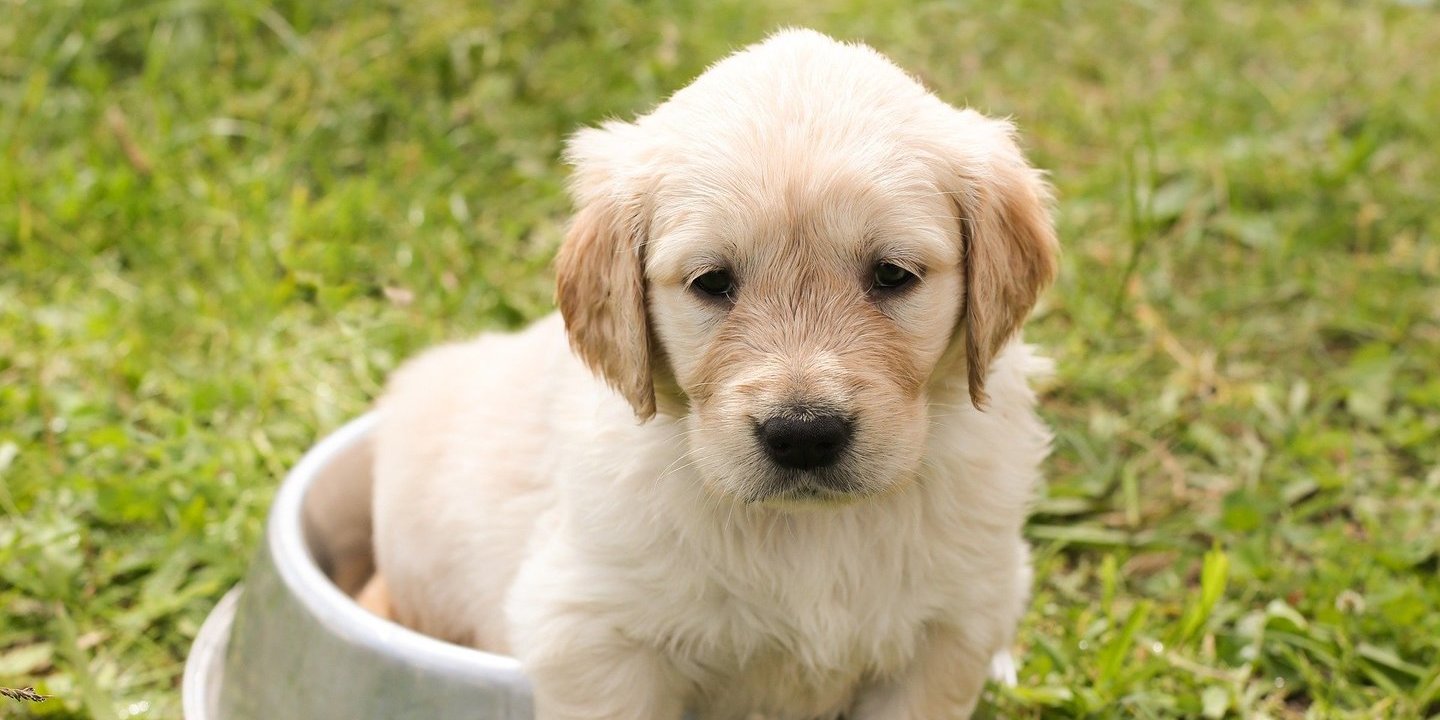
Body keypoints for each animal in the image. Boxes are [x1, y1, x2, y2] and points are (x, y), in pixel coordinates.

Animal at [368, 28, 1059, 720]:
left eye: (892, 274)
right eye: (711, 281)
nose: (803, 435)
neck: (808, 530)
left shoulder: (953, 628)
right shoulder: (592, 634)